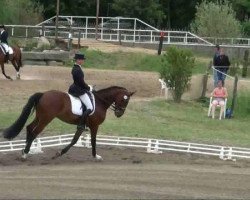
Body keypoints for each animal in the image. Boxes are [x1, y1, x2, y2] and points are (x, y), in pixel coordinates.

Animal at [2, 86, 135, 161]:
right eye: (125, 100)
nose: (119, 114)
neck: (100, 102)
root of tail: (43, 94)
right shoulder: (94, 125)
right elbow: (93, 141)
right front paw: (96, 156)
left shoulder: (82, 126)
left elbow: (75, 140)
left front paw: (59, 153)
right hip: (46, 118)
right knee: (34, 132)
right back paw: (25, 154)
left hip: (40, 117)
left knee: (29, 128)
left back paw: (25, 151)